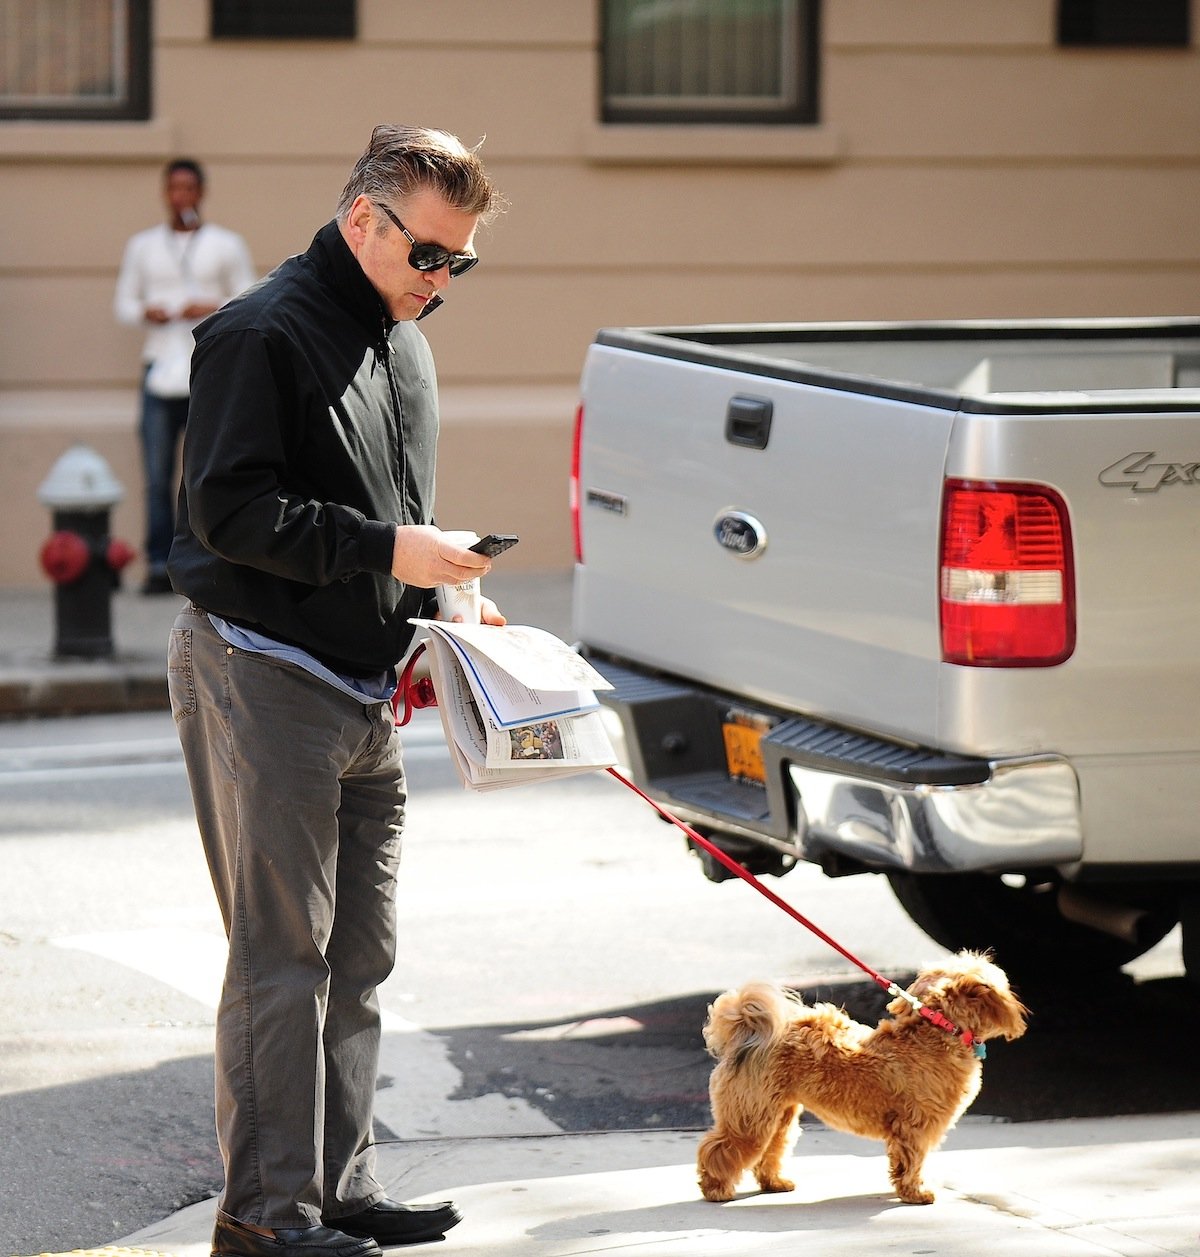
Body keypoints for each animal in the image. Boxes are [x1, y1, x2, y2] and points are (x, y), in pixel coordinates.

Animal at [698, 950, 1025, 1206]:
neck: (938, 1030)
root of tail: (746, 1034)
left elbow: (901, 1161)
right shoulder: (916, 1126)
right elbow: (913, 1160)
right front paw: (916, 1193)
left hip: (778, 1115)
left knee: (771, 1150)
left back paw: (775, 1182)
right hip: (749, 1117)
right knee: (720, 1148)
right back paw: (716, 1189)